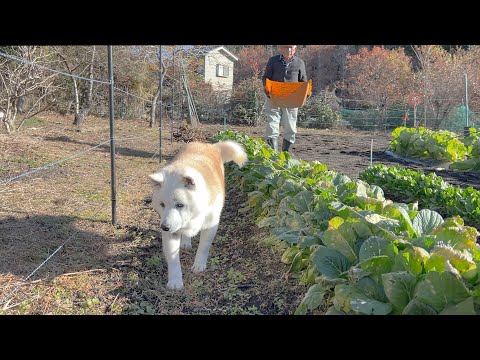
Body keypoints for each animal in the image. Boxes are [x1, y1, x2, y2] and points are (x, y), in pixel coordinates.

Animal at [149, 141, 248, 290]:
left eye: (180, 205)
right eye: (162, 204)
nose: (164, 227)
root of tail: (209, 145)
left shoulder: (210, 225)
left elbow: (203, 246)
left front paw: (199, 265)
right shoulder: (171, 232)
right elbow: (173, 259)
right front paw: (175, 281)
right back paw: (185, 242)